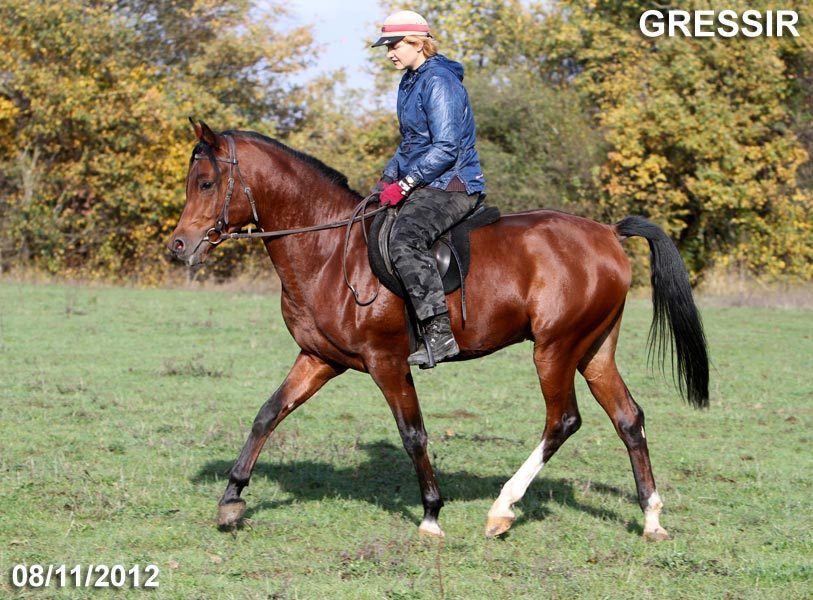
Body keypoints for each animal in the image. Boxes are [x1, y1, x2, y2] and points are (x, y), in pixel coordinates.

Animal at [168, 120, 708, 540]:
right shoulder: (319, 359)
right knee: (628, 419)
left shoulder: (386, 363)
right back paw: (651, 519)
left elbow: (413, 434)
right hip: (594, 350)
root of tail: (608, 234)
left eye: (206, 183)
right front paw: (232, 499)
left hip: (555, 349)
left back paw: (501, 510)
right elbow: (268, 414)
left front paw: (430, 514)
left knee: (563, 421)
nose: (179, 246)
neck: (329, 250)